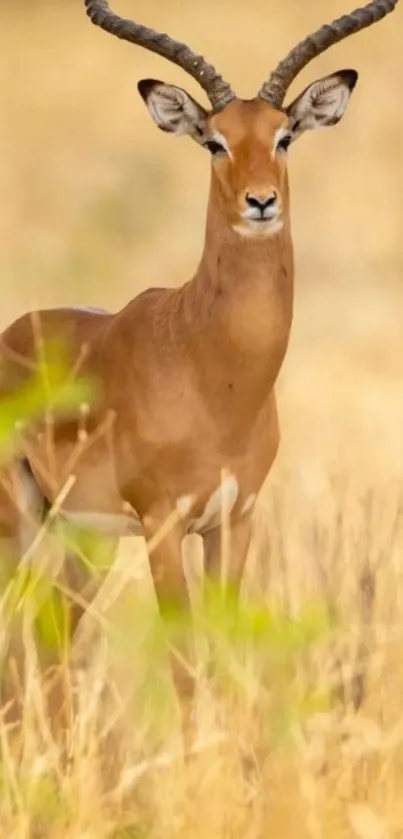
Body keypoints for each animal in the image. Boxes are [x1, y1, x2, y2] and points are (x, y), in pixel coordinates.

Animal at [0, 0, 400, 728]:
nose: (260, 201)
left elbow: (223, 648)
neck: (211, 371)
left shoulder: (235, 520)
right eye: (214, 141)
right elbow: (185, 662)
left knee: (52, 640)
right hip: (18, 519)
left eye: (284, 136)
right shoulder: (163, 524)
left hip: (84, 539)